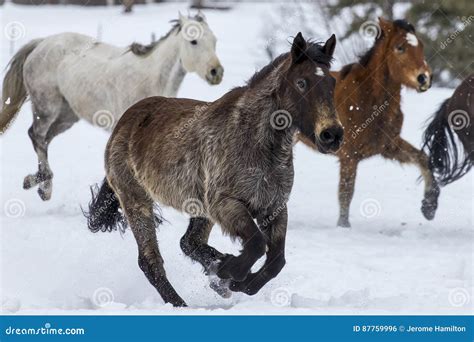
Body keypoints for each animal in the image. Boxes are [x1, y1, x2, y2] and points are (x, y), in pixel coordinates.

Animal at [0, 12, 224, 200]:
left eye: (214, 41)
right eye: (194, 41)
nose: (216, 72)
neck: (151, 80)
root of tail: (41, 43)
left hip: (67, 117)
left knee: (44, 140)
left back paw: (38, 184)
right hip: (47, 108)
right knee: (36, 135)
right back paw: (42, 187)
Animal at [86, 32, 344, 308]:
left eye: (331, 83)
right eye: (302, 83)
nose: (332, 135)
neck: (257, 144)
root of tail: (124, 123)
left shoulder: (274, 207)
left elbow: (276, 260)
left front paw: (233, 280)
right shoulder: (226, 205)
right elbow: (256, 245)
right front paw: (227, 271)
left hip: (199, 208)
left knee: (189, 242)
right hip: (137, 200)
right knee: (150, 261)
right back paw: (182, 302)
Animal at [300, 18, 440, 227]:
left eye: (421, 46)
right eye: (400, 47)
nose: (425, 78)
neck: (369, 101)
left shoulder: (389, 146)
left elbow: (423, 158)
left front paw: (429, 207)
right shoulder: (349, 155)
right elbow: (346, 192)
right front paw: (343, 226)